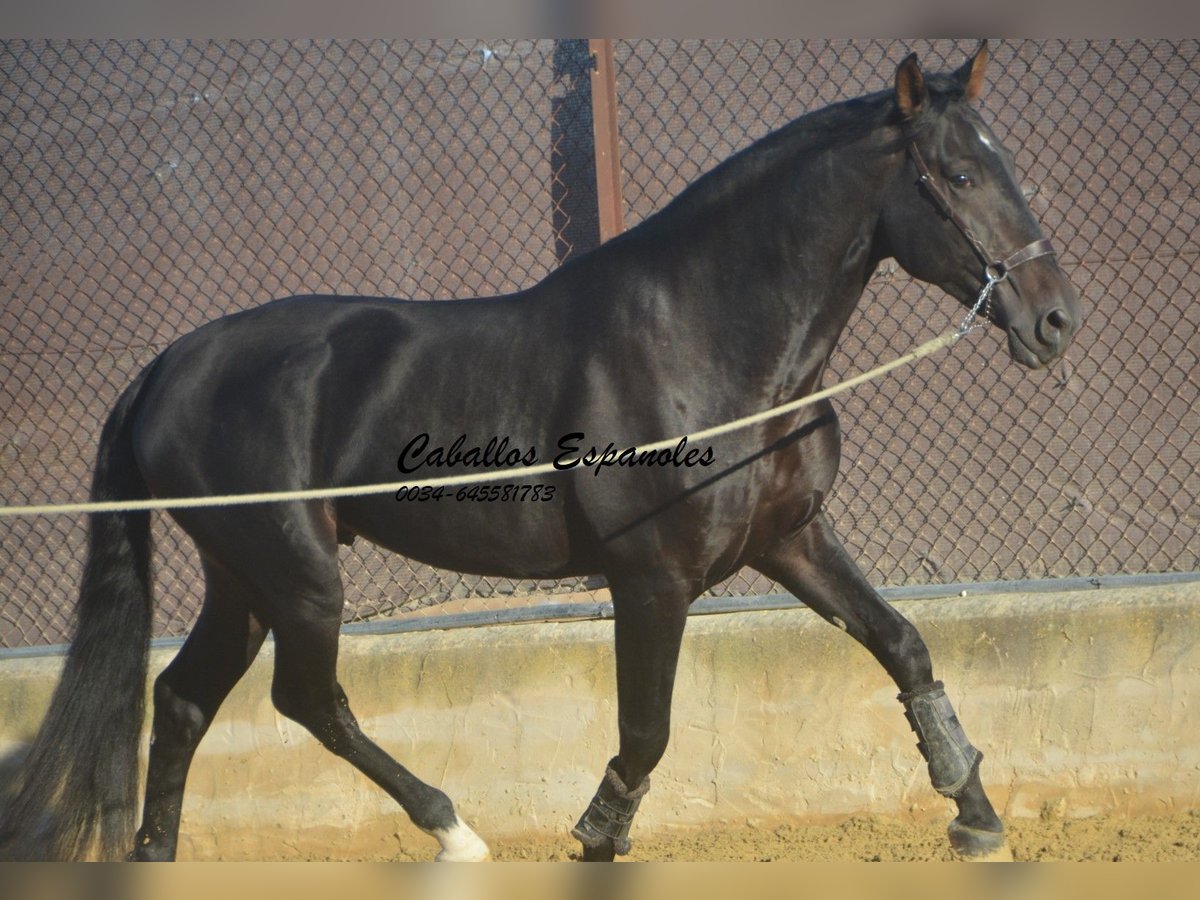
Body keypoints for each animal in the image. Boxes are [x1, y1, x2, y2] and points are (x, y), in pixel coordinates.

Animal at [0, 45, 1080, 864]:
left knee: (183, 701)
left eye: (1009, 165)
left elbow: (903, 644)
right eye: (959, 176)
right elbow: (645, 733)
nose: (1054, 321)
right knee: (305, 699)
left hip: (244, 578)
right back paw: (453, 830)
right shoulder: (650, 579)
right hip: (295, 574)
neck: (705, 340)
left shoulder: (790, 542)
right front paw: (598, 839)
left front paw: (976, 815)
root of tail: (167, 366)